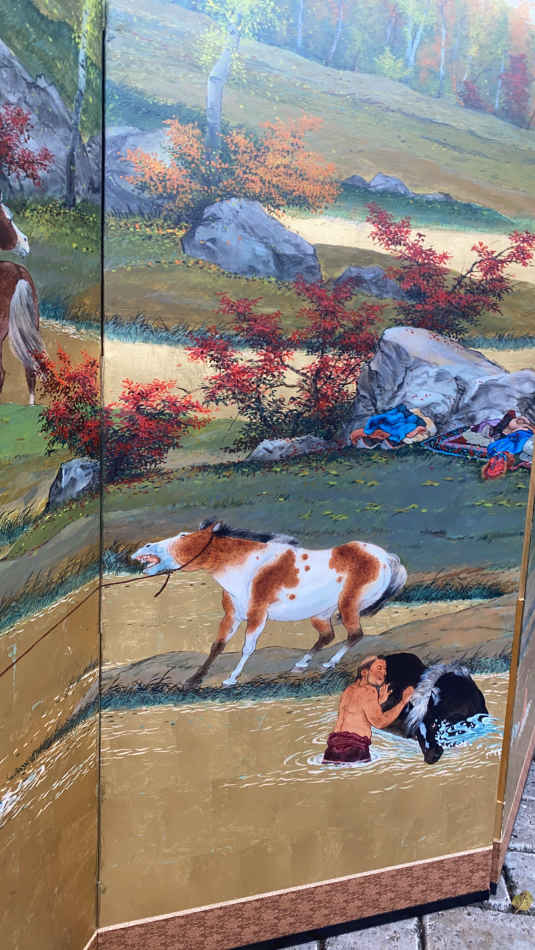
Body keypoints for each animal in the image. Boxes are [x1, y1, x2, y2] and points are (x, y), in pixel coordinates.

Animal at [132, 520, 407, 688]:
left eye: (183, 536)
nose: (143, 547)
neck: (247, 567)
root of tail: (387, 558)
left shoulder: (257, 615)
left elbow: (247, 648)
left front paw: (231, 679)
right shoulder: (232, 616)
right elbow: (217, 646)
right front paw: (194, 679)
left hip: (347, 606)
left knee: (354, 634)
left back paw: (328, 663)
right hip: (321, 613)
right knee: (328, 636)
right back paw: (301, 664)